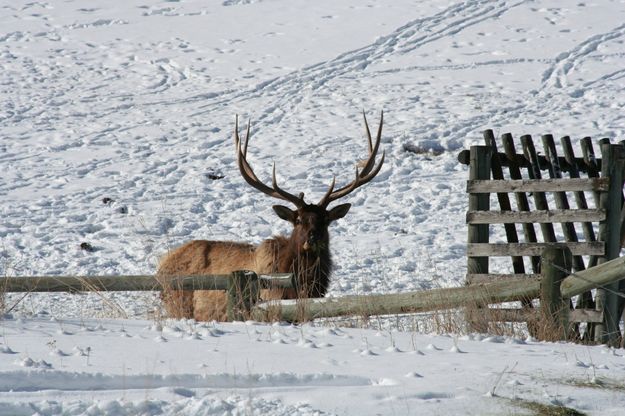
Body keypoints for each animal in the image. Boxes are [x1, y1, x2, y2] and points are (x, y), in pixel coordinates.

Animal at [156, 112, 382, 320]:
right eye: (298, 220)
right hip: (180, 304)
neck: (299, 285)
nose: (313, 237)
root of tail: (162, 264)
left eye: (326, 220)